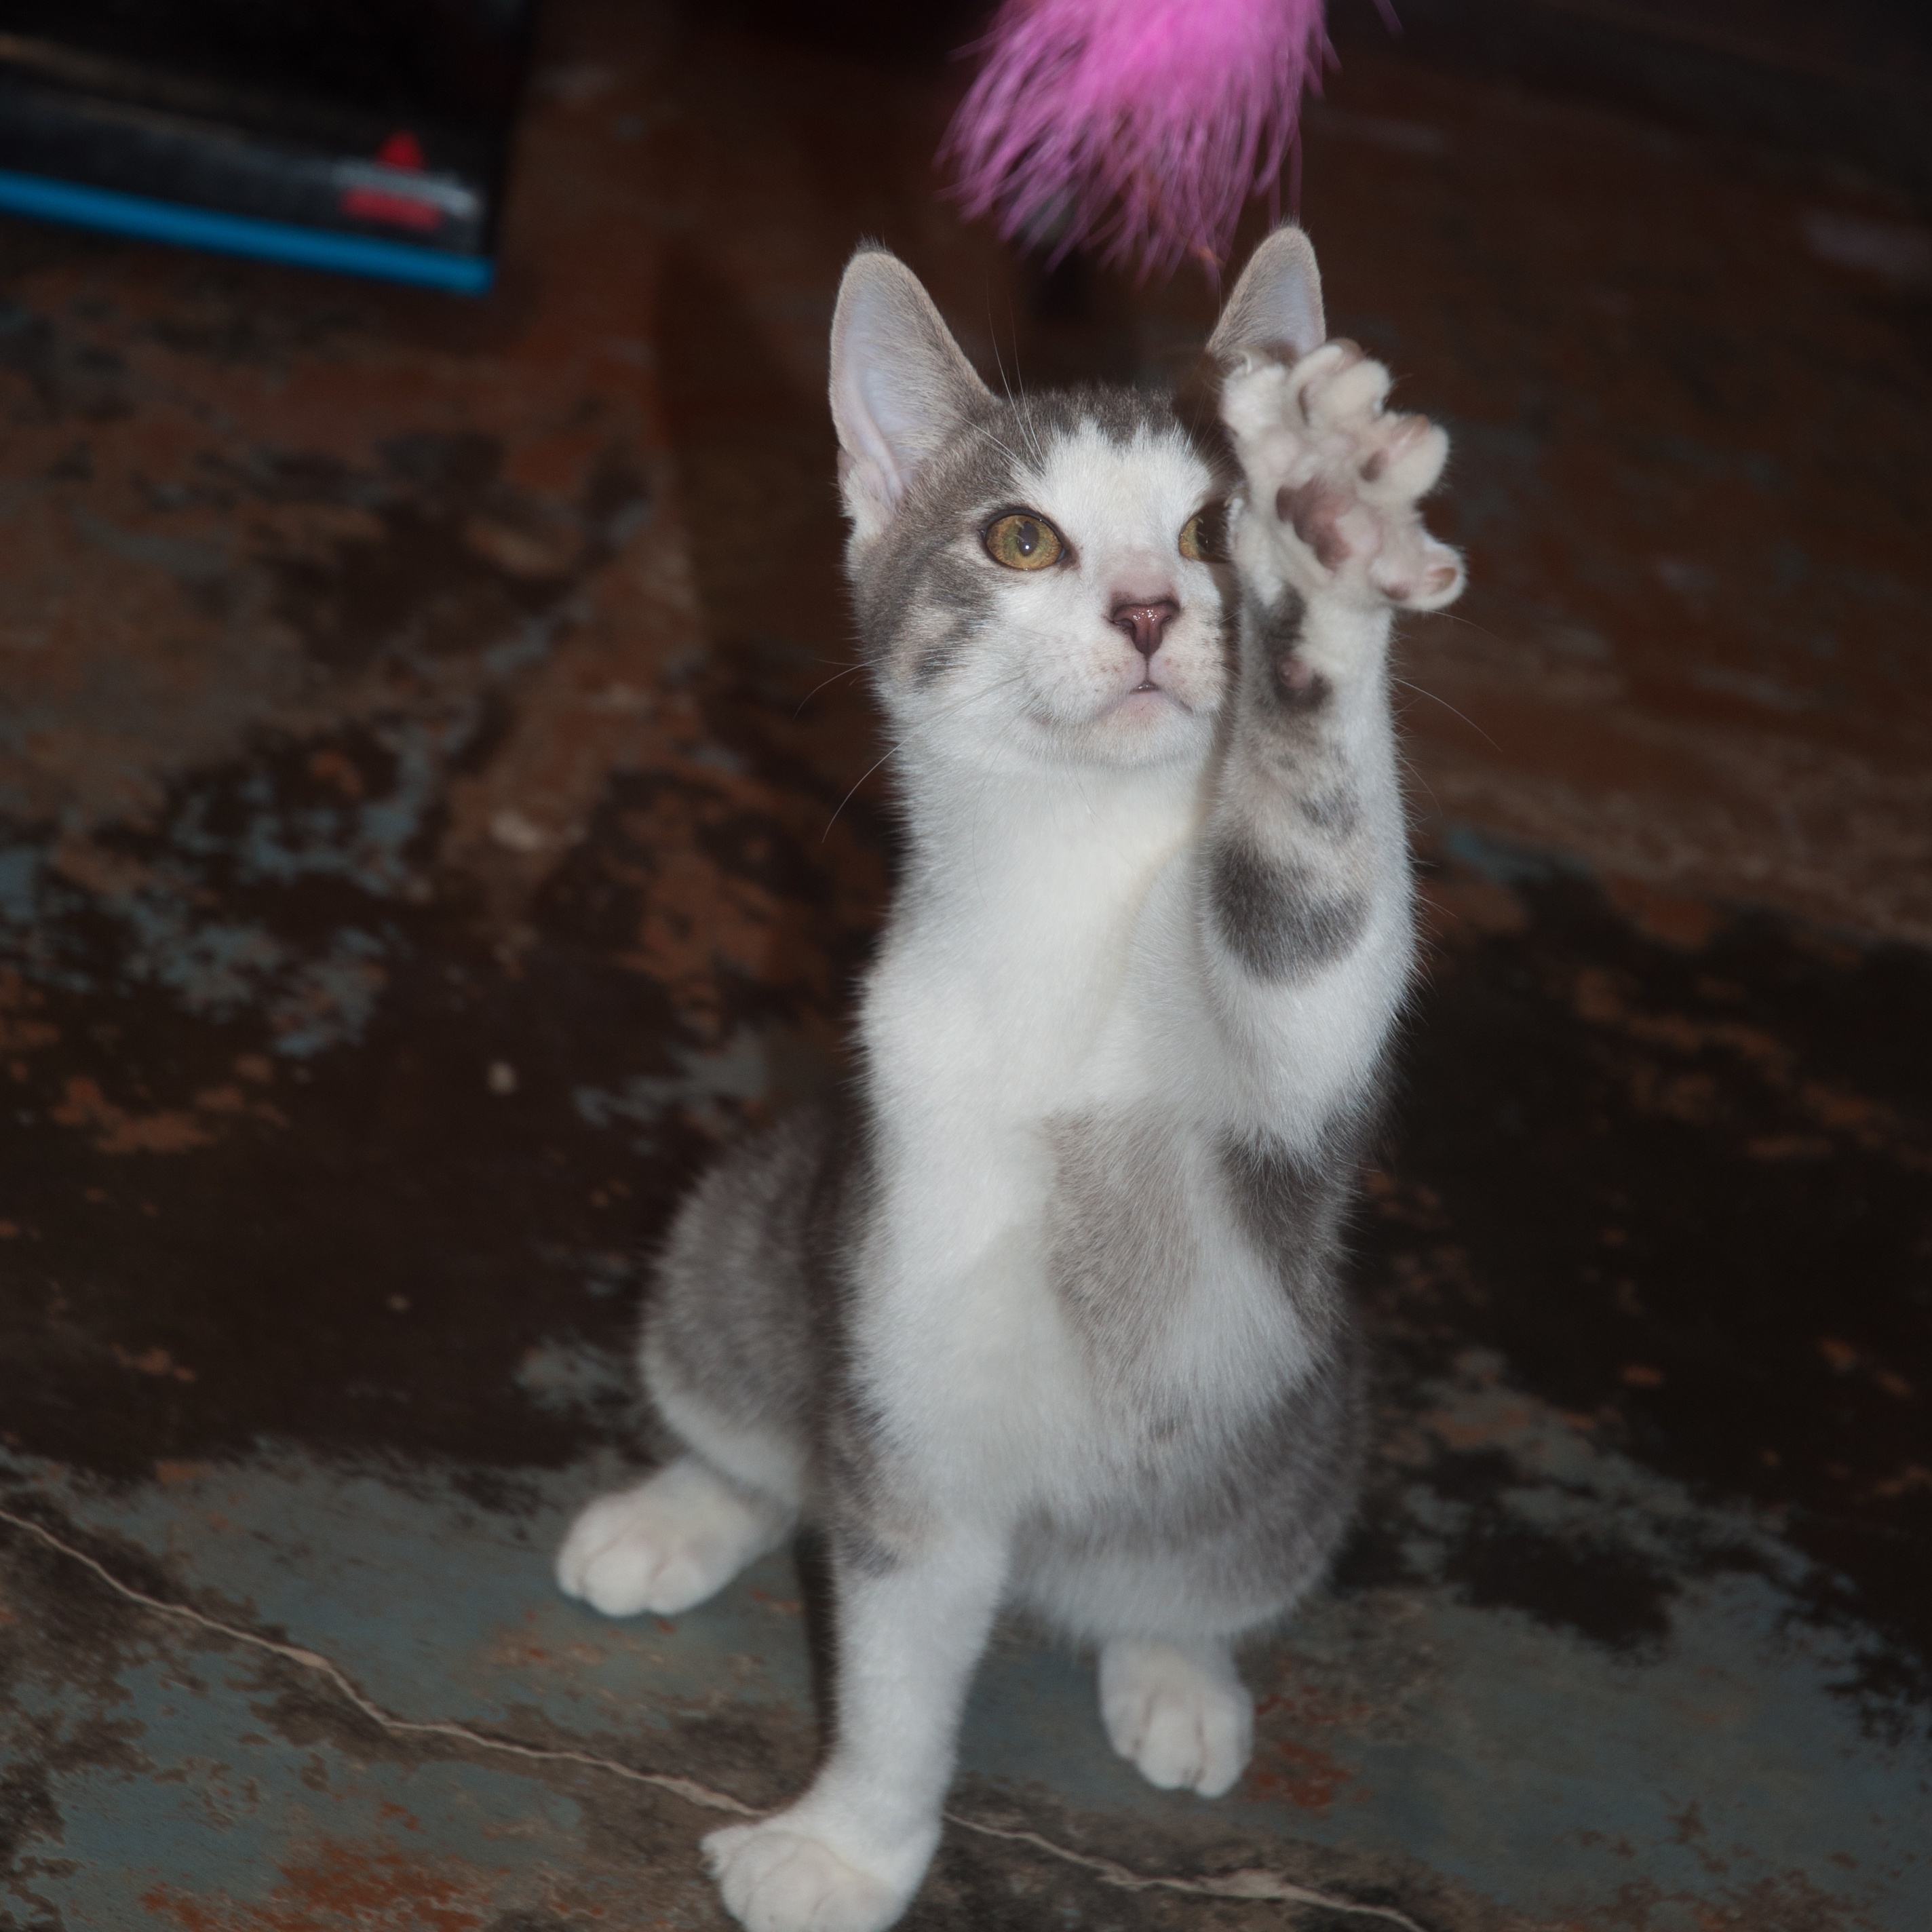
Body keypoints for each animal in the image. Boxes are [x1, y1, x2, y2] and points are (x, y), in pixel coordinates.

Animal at [560, 229, 1461, 1932]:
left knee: (1190, 1569)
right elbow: (895, 1615)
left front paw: (1326, 545)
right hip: (756, 1224)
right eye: (1020, 537)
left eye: (1204, 526)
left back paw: (1172, 1665)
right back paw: (678, 1508)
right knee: (762, 1413)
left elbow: (1307, 927)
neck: (1070, 894)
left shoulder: (1279, 1083)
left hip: (1296, 1431)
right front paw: (848, 1840)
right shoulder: (906, 1308)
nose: (1148, 607)